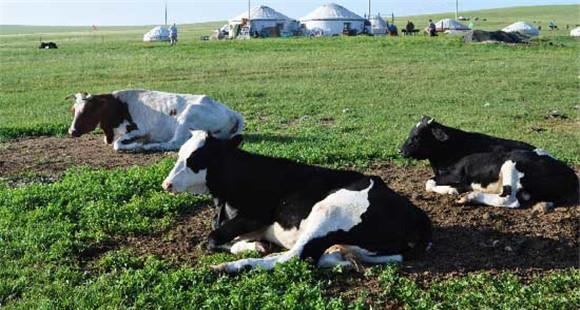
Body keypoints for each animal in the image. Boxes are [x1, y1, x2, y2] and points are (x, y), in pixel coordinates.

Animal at [67, 89, 244, 152]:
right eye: (73, 110)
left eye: (88, 110)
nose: (71, 131)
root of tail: (232, 112)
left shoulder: (140, 129)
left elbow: (117, 145)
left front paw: (137, 145)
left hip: (187, 117)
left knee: (174, 144)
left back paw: (148, 146)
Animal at [162, 131, 430, 274]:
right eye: (179, 154)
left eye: (195, 158)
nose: (166, 184)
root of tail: (416, 213)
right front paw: (251, 245)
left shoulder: (255, 216)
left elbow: (211, 239)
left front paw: (249, 248)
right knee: (324, 257)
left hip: (328, 212)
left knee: (294, 257)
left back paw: (230, 266)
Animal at [402, 116, 576, 208]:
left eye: (417, 136)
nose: (400, 150)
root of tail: (571, 176)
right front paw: (455, 189)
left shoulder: (457, 174)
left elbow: (429, 182)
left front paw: (451, 190)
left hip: (511, 164)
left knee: (509, 199)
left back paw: (470, 196)